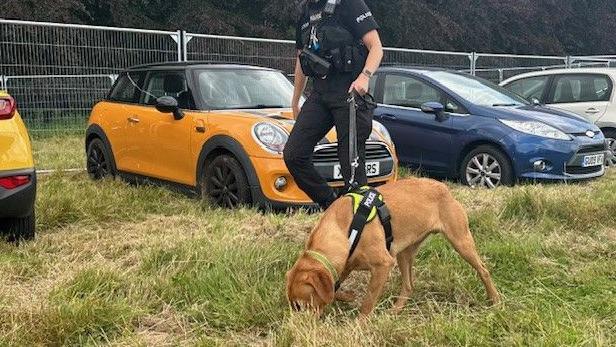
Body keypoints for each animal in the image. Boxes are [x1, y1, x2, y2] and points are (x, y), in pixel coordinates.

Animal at [286, 178, 500, 316]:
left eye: (300, 306)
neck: (344, 228)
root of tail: (444, 187)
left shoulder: (383, 265)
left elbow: (367, 303)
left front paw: (359, 325)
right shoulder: (345, 264)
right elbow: (334, 288)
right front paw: (348, 296)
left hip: (461, 241)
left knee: (483, 269)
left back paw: (495, 300)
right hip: (404, 253)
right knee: (409, 285)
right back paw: (396, 310)